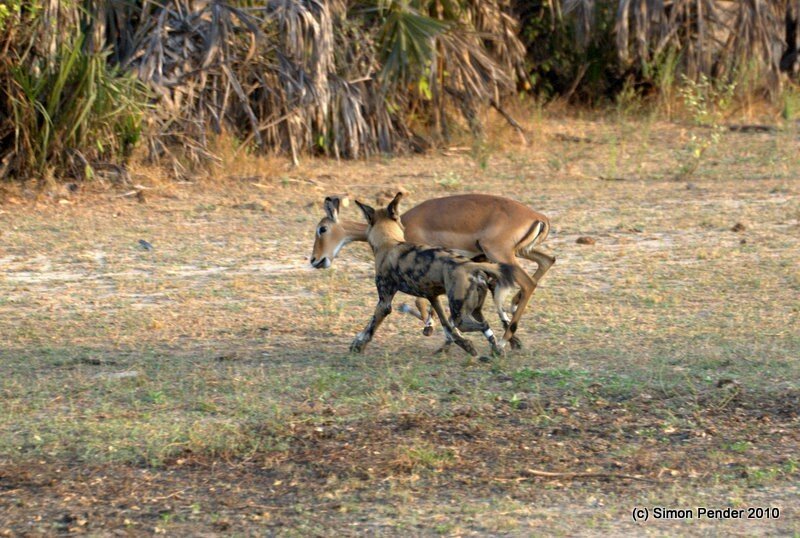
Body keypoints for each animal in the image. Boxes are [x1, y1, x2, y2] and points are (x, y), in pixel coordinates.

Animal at [310, 193, 555, 349]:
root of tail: (539, 217)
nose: (315, 260)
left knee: (528, 282)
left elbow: (420, 303)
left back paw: (504, 339)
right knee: (547, 260)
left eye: (322, 229)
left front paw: (431, 327)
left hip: (500, 253)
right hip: (518, 252)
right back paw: (509, 327)